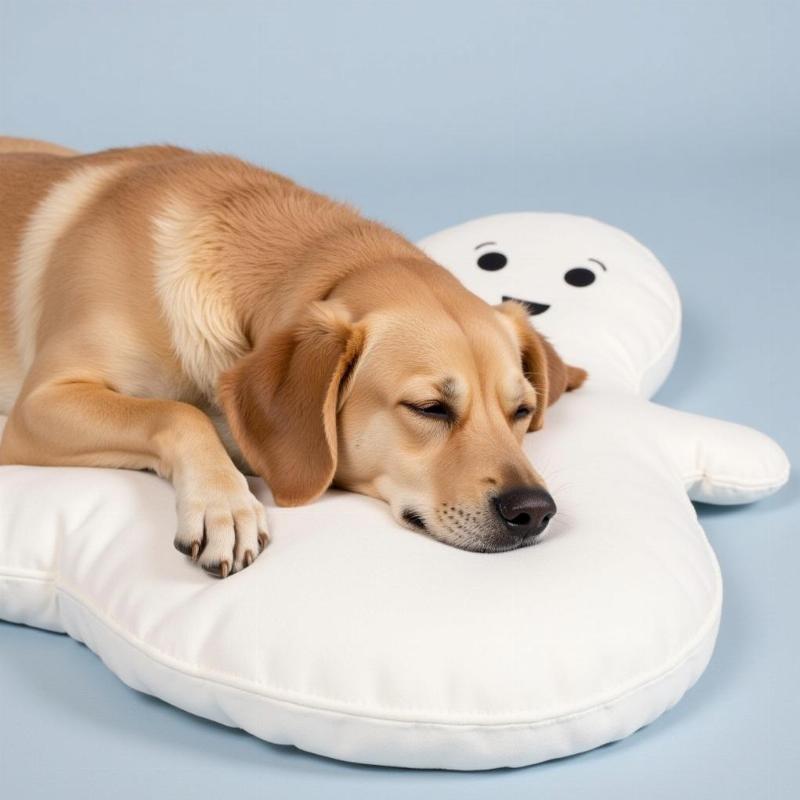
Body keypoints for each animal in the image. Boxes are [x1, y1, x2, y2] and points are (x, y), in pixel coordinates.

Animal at [0, 138, 588, 576]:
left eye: (521, 412)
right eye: (429, 408)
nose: (534, 510)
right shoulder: (36, 409)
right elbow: (179, 412)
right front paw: (223, 505)